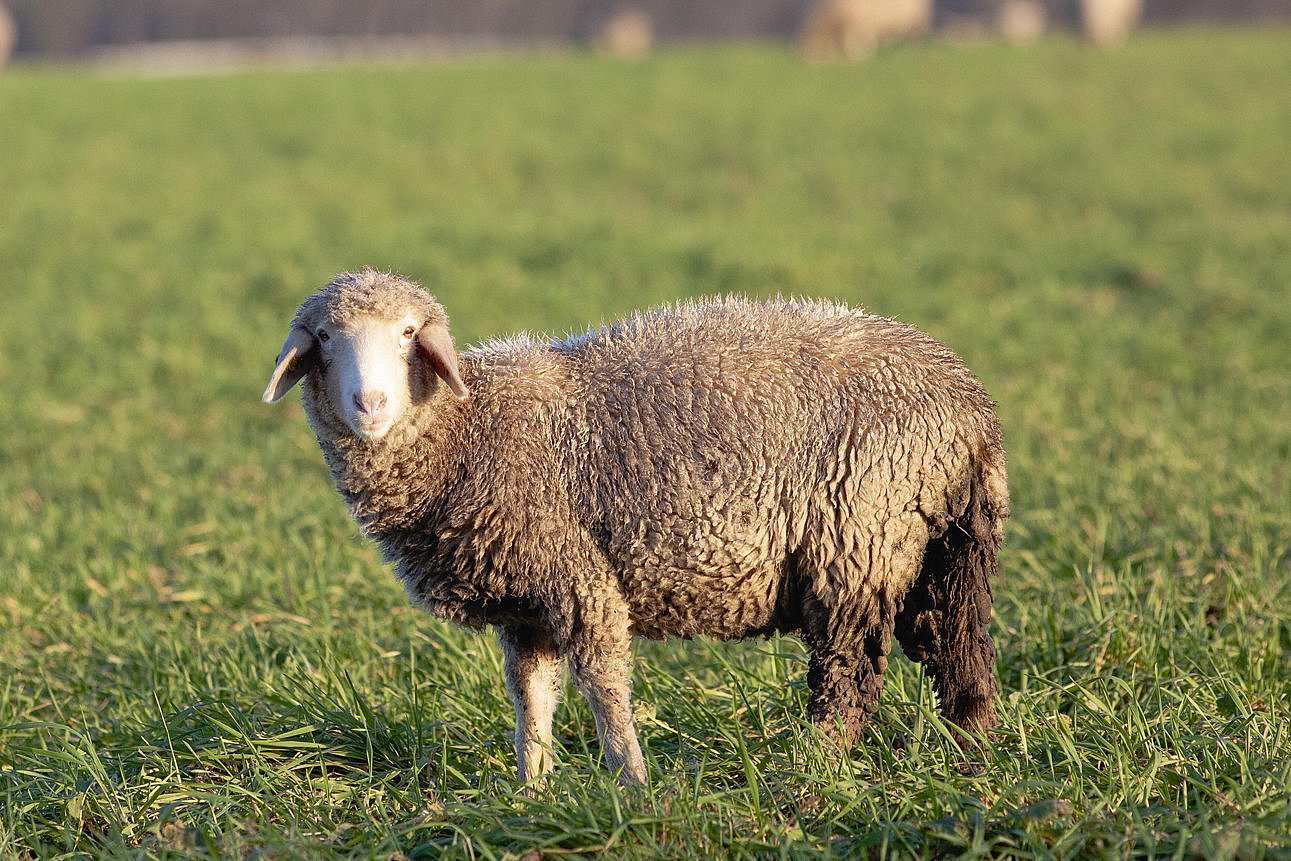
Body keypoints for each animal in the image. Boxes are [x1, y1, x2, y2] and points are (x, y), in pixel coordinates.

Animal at [262, 271, 1006, 790]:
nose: (370, 403)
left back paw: (808, 772)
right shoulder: (526, 606)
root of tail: (971, 405)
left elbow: (603, 684)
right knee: (960, 651)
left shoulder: (576, 576)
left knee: (849, 677)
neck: (468, 431)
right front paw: (531, 789)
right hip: (947, 549)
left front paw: (630, 784)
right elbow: (531, 695)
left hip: (857, 541)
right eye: (324, 338)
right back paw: (971, 759)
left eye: (409, 333)